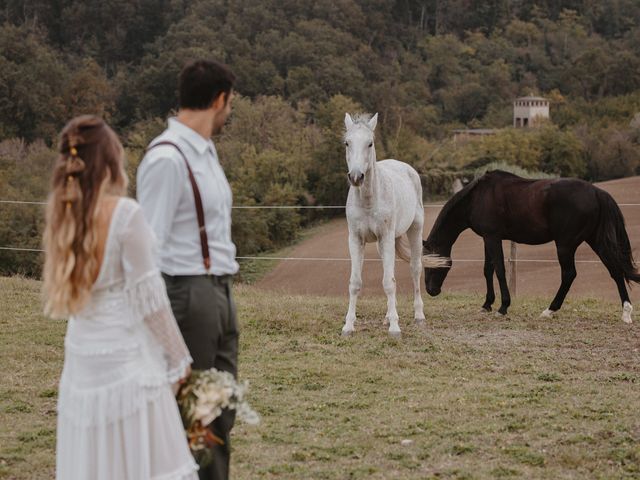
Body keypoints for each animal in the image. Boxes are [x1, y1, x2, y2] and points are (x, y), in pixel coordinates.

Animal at [340, 113, 424, 338]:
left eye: (370, 143)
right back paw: (387, 317)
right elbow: (355, 283)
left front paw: (395, 328)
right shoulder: (356, 240)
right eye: (347, 143)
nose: (356, 177)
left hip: (415, 229)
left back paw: (419, 315)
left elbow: (389, 282)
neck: (369, 200)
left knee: (415, 268)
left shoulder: (386, 237)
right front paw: (348, 326)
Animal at [422, 170, 636, 322]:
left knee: (569, 274)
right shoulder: (487, 238)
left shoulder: (493, 238)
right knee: (615, 270)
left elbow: (499, 270)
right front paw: (487, 304)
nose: (431, 291)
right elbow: (487, 270)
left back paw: (550, 310)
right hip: (595, 240)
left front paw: (503, 307)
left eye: (430, 266)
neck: (478, 197)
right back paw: (626, 312)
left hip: (565, 245)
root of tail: (597, 192)